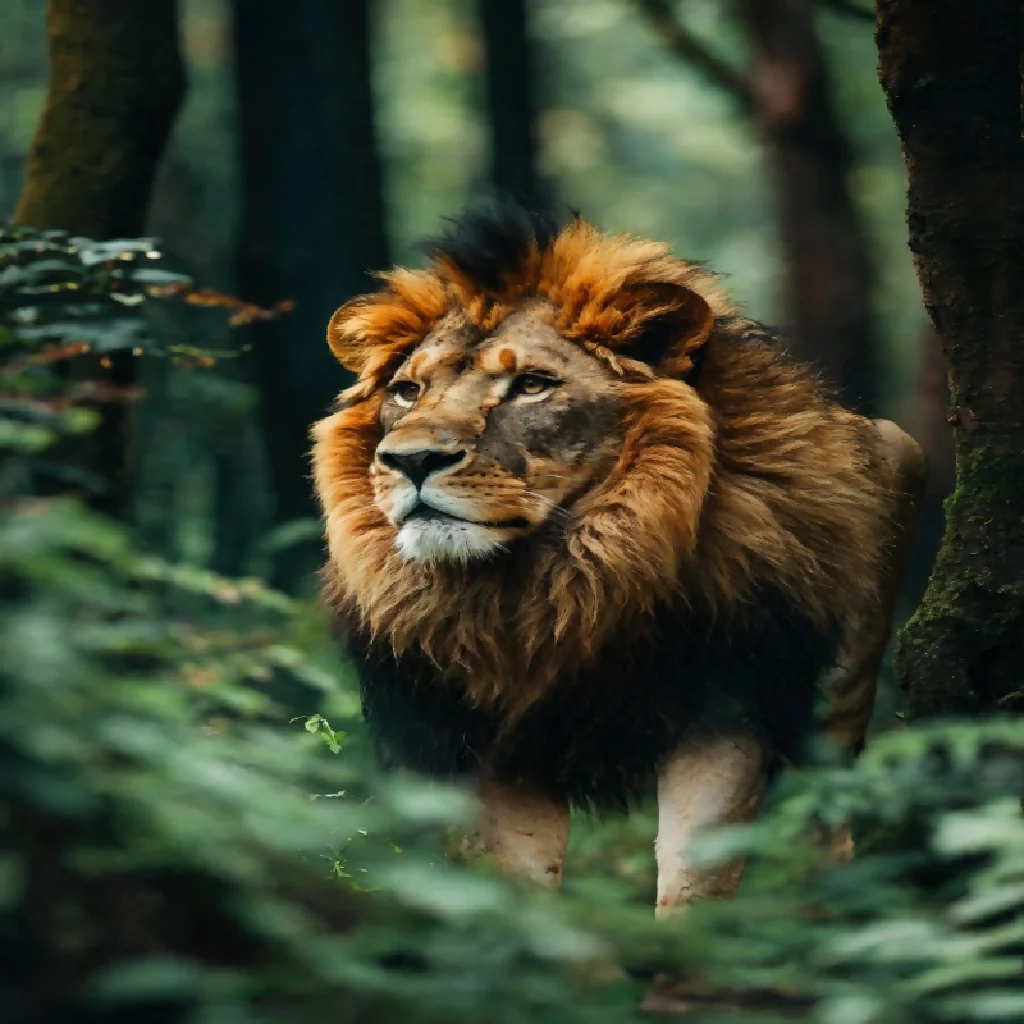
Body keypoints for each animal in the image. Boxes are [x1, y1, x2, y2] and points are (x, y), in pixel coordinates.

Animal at [311, 201, 925, 913]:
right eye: (408, 391)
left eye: (531, 385)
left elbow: (696, 879)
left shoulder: (725, 704)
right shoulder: (489, 744)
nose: (410, 460)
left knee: (828, 826)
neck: (554, 583)